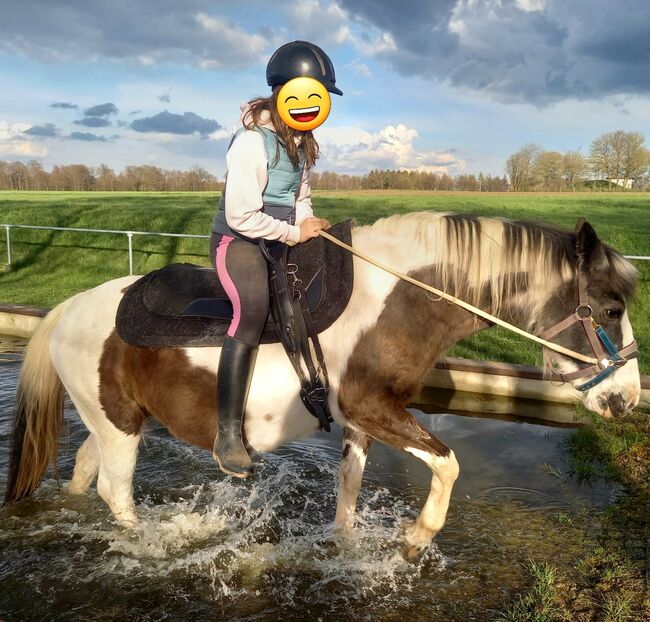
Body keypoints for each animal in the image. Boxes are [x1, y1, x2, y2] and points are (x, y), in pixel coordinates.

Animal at [3, 213, 636, 560]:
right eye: (611, 307)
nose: (626, 398)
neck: (401, 298)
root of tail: (68, 308)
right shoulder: (371, 406)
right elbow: (449, 464)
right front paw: (416, 539)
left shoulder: (363, 420)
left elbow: (349, 491)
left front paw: (350, 551)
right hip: (118, 427)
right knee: (116, 492)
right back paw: (148, 547)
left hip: (117, 420)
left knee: (85, 474)